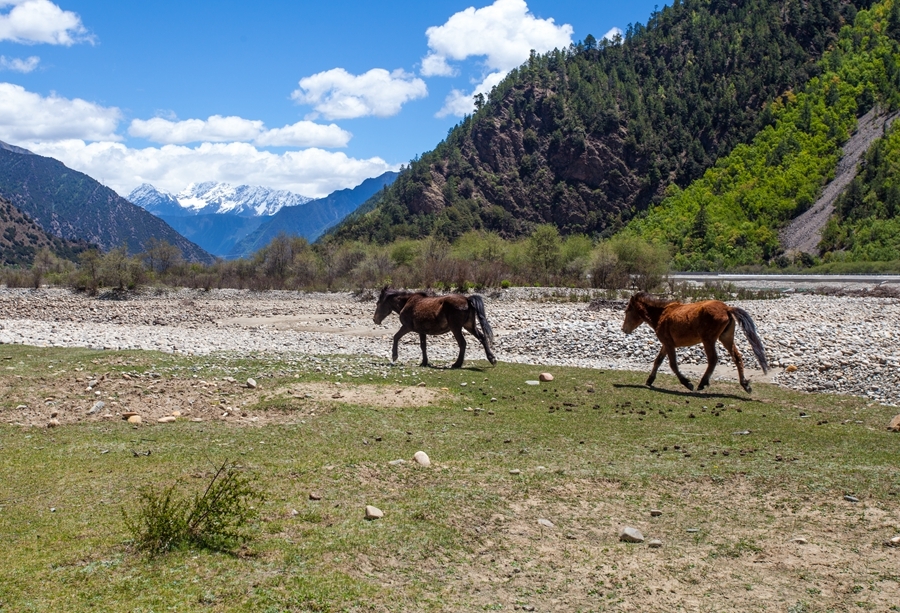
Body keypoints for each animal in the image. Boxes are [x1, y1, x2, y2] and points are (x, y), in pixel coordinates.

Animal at [372, 288, 500, 368]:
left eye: (378, 303)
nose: (375, 320)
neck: (407, 302)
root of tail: (467, 300)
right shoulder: (421, 331)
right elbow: (423, 346)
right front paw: (424, 362)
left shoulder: (407, 327)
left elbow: (396, 337)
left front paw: (394, 356)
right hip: (469, 326)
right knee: (482, 338)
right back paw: (492, 359)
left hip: (456, 328)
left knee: (462, 343)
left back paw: (457, 364)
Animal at [624, 292, 768, 392]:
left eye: (627, 311)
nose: (623, 329)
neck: (661, 315)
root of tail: (727, 308)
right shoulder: (665, 344)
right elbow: (658, 361)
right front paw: (650, 380)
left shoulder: (669, 344)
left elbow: (673, 365)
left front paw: (687, 383)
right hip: (726, 338)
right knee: (737, 357)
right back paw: (745, 385)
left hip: (708, 340)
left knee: (713, 359)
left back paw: (702, 383)